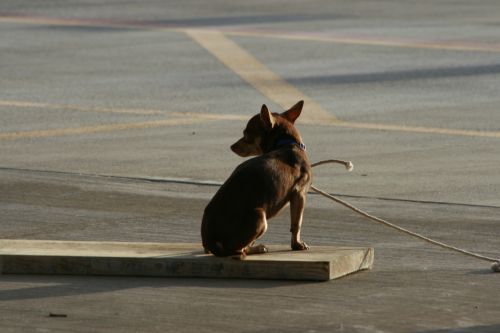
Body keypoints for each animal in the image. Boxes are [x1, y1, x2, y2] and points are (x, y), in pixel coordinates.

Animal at [200, 99, 310, 256]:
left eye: (246, 135)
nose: (232, 146)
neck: (287, 143)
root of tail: (211, 240)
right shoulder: (299, 194)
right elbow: (296, 224)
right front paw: (297, 244)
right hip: (261, 218)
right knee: (237, 249)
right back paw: (257, 248)